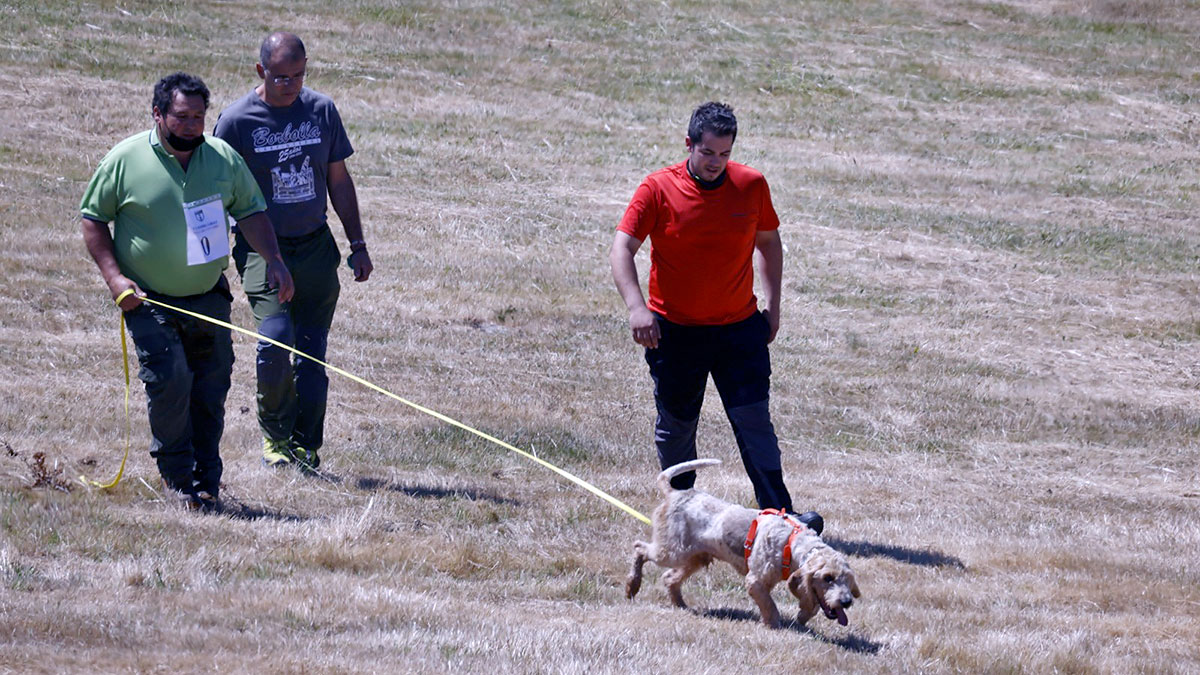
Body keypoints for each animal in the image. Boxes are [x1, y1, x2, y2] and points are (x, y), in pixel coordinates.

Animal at [624, 456, 859, 624]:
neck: (791, 543)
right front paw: (775, 626)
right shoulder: (755, 581)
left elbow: (810, 603)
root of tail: (675, 493)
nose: (847, 602)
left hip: (695, 557)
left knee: (669, 578)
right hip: (671, 552)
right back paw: (632, 586)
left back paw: (681, 605)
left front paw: (802, 617)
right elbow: (770, 607)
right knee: (639, 548)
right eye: (828, 578)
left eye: (847, 578)